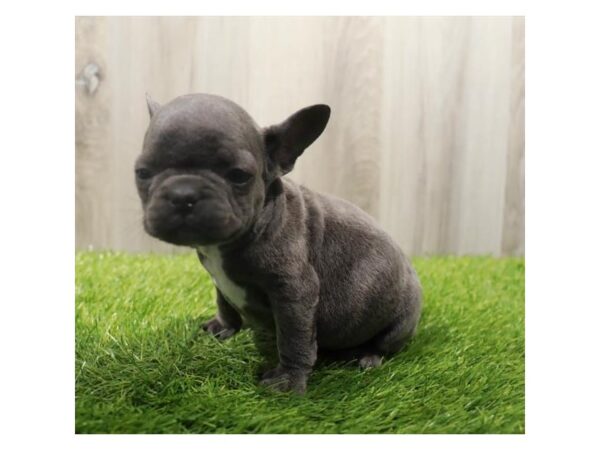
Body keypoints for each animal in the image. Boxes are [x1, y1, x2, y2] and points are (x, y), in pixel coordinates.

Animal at [135, 93, 422, 392]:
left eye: (239, 175)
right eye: (142, 172)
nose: (183, 195)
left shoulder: (294, 293)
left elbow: (293, 338)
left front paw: (288, 380)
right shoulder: (218, 281)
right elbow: (225, 304)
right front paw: (223, 327)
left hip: (400, 319)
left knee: (385, 343)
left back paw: (367, 356)